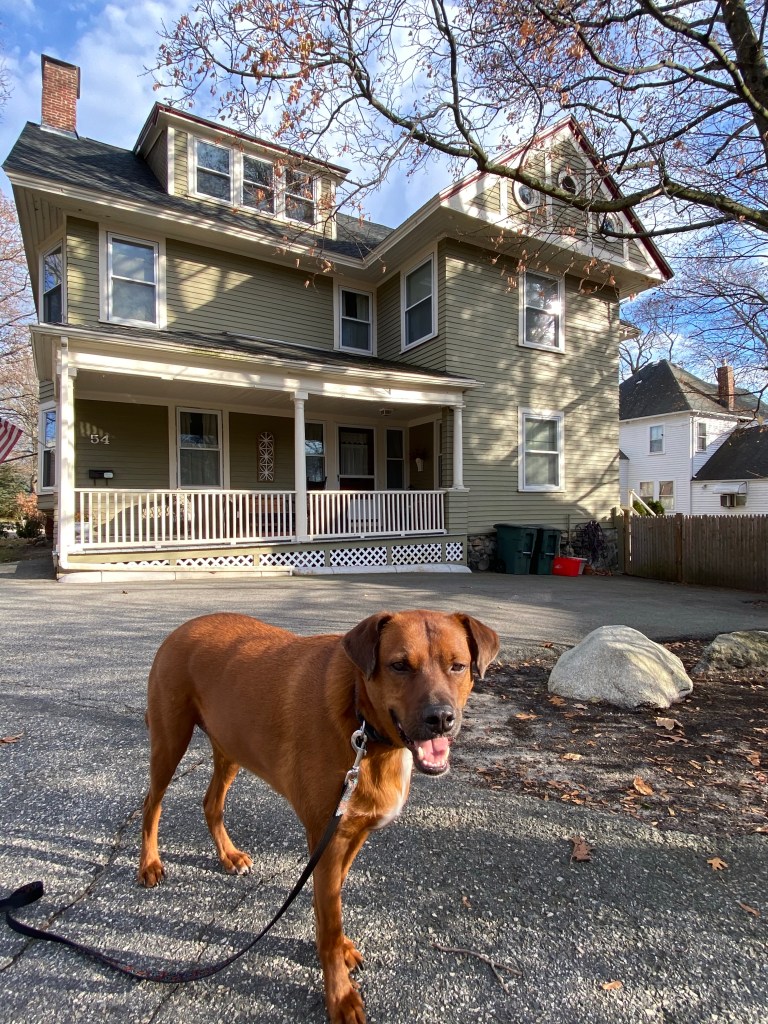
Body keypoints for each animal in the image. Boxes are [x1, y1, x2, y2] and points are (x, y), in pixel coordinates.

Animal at [138, 609, 500, 1023]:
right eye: (399, 666)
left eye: (457, 666)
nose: (440, 718)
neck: (364, 726)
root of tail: (183, 627)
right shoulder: (327, 840)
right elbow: (328, 921)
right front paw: (339, 994)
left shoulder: (350, 833)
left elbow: (332, 906)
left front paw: (339, 949)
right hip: (170, 742)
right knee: (151, 803)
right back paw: (149, 863)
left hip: (230, 745)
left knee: (211, 803)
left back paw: (227, 855)